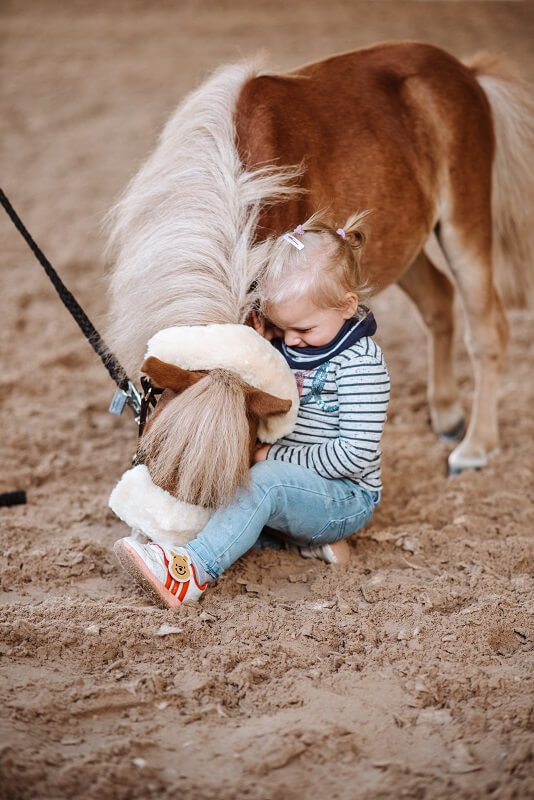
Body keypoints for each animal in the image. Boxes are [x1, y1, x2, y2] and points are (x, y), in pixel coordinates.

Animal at [106, 41, 534, 502]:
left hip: (464, 226)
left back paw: (475, 448)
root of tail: (464, 70)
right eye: (146, 456)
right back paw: (448, 415)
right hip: (400, 240)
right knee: (439, 300)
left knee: (488, 330)